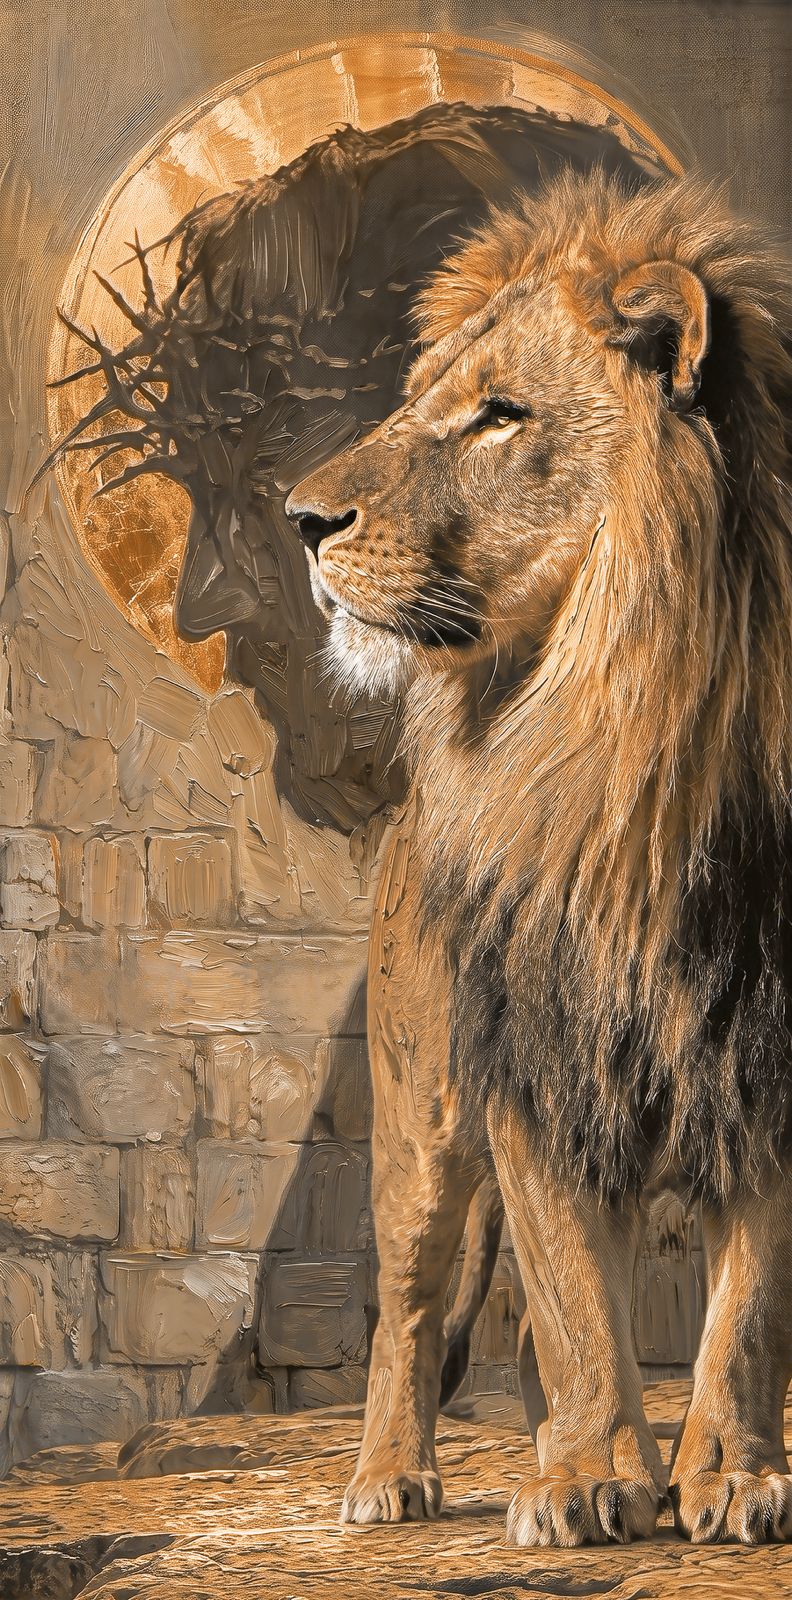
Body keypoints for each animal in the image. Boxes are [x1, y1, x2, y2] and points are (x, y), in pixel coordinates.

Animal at [285, 167, 792, 1548]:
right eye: (419, 399)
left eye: (500, 414)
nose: (298, 519)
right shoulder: (533, 1065)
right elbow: (569, 1295)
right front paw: (585, 1477)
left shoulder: (767, 1061)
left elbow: (748, 1303)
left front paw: (728, 1475)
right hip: (420, 1122)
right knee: (412, 1312)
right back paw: (390, 1478)